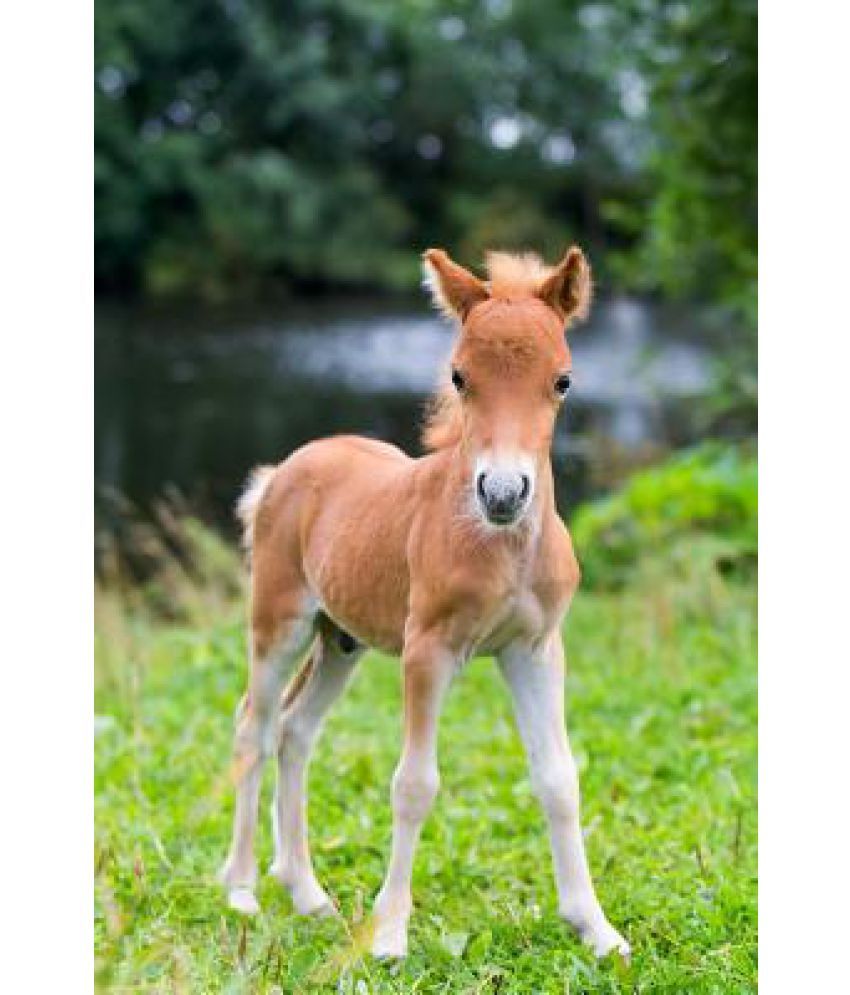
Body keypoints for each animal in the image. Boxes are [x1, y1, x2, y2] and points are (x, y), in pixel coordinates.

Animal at [219, 245, 630, 960]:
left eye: (563, 381)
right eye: (460, 377)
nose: (503, 493)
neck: (500, 545)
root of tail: (284, 471)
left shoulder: (534, 650)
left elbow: (558, 779)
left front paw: (596, 929)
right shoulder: (427, 649)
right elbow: (414, 784)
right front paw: (388, 935)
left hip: (341, 640)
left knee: (297, 731)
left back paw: (308, 894)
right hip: (279, 623)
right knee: (255, 727)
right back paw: (243, 890)